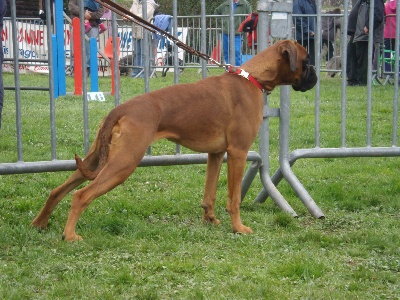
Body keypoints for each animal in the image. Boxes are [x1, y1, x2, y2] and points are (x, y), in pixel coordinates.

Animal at [31, 39, 318, 241]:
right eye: (307, 60)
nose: (315, 75)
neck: (254, 78)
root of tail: (120, 109)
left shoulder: (216, 155)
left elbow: (209, 193)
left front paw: (210, 220)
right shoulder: (238, 152)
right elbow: (234, 198)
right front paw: (238, 228)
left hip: (95, 161)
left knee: (58, 190)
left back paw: (40, 223)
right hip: (123, 163)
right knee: (80, 195)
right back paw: (69, 235)